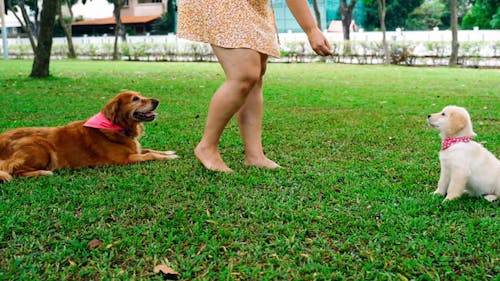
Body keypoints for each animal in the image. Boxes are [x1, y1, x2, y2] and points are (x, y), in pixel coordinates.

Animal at [0, 90, 179, 182]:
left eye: (141, 96)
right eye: (136, 99)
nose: (157, 101)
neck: (118, 127)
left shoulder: (135, 149)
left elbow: (150, 149)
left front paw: (168, 152)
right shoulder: (126, 159)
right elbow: (150, 155)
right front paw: (168, 157)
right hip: (40, 146)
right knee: (14, 170)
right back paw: (42, 173)